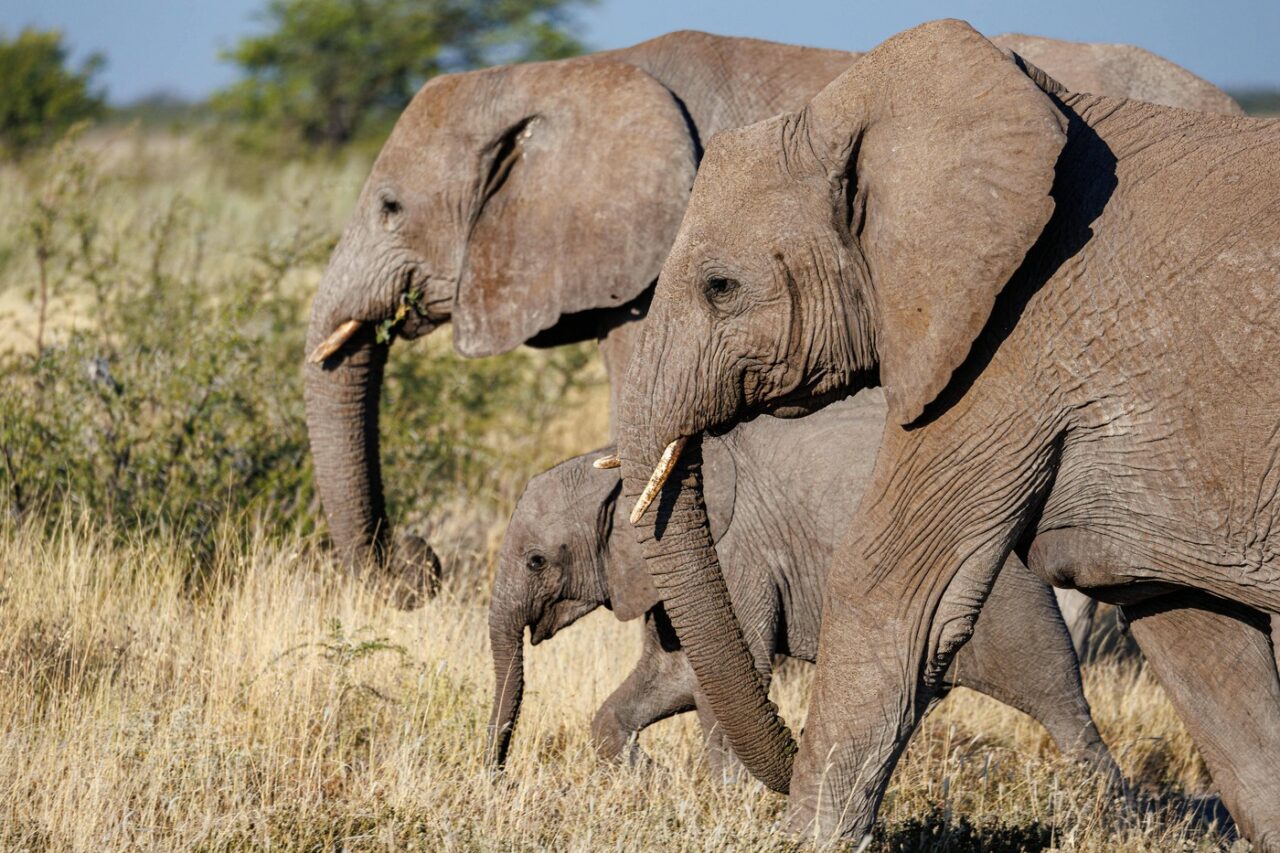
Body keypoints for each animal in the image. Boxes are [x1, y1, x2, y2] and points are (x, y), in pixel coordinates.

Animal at [486, 394, 1122, 792]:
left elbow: (718, 680)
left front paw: (726, 800)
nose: (498, 778)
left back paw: (1106, 815)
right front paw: (654, 781)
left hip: (1011, 599)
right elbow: (671, 677)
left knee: (1062, 705)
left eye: (538, 561)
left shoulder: (737, 555)